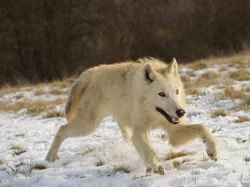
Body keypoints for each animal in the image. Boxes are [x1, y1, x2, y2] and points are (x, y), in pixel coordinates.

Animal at [46, 57, 218, 175]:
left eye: (176, 92)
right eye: (162, 94)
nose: (181, 112)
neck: (154, 116)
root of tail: (91, 71)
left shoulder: (174, 132)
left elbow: (202, 127)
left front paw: (213, 150)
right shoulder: (140, 132)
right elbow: (149, 152)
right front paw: (156, 168)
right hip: (88, 125)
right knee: (61, 129)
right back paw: (50, 158)